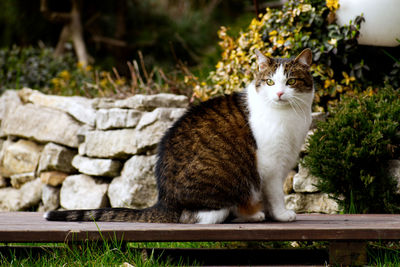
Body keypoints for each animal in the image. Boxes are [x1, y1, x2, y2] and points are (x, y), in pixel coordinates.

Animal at [43, 48, 312, 224]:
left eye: (291, 81)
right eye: (269, 82)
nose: (279, 93)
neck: (288, 115)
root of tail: (164, 201)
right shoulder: (270, 165)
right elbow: (275, 194)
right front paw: (281, 214)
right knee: (199, 216)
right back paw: (250, 214)